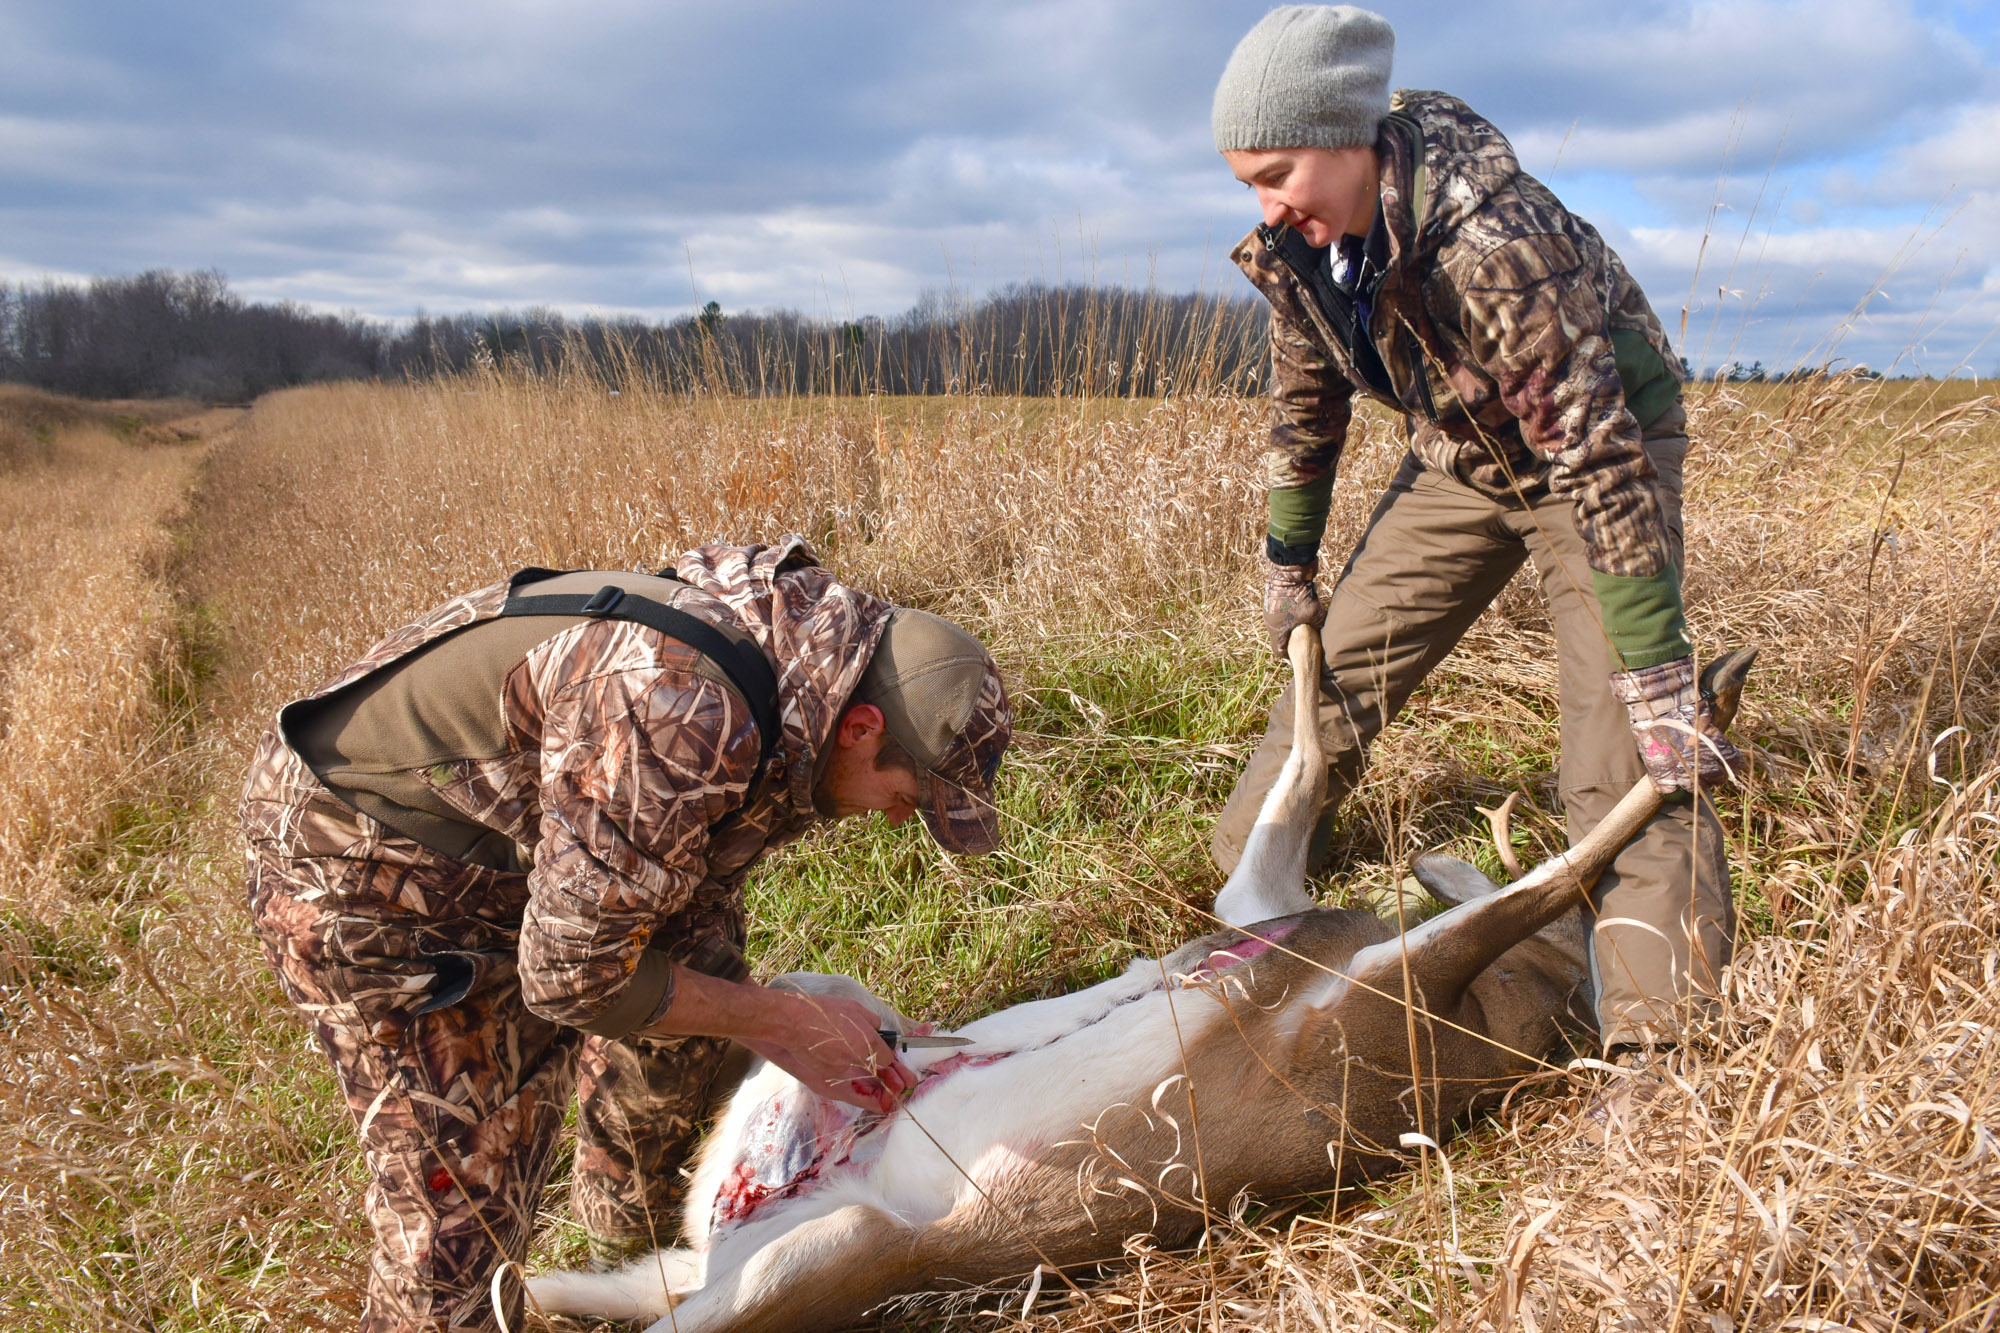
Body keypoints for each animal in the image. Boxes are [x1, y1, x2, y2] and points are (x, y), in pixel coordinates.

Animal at [528, 628, 1752, 1320]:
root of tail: (724, 1234)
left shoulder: (1365, 1004)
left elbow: (1548, 876)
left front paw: (1690, 726)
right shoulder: (1314, 954)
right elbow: (1348, 790)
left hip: (796, 1246)